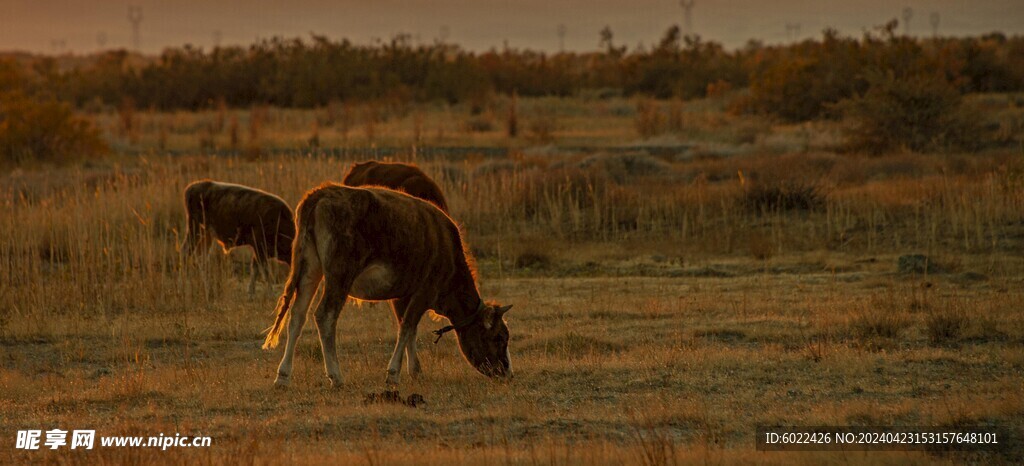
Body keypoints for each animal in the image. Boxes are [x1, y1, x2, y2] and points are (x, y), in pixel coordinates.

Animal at [260, 184, 507, 389]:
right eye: (500, 337)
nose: (506, 372)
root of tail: (321, 193)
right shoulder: (426, 290)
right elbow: (407, 326)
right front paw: (393, 373)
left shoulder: (403, 294)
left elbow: (408, 328)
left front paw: (415, 370)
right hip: (339, 274)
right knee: (325, 315)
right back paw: (336, 376)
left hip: (309, 268)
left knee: (297, 315)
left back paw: (283, 376)